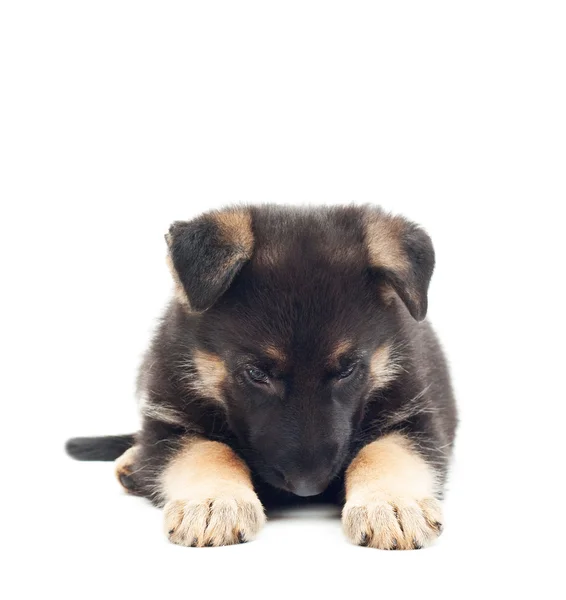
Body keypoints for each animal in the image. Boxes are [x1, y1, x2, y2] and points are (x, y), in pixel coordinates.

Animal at [66, 205, 460, 548]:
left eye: (348, 369)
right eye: (256, 373)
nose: (309, 487)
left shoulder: (417, 419)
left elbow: (385, 452)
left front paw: (391, 503)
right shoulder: (168, 422)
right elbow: (207, 450)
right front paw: (215, 500)